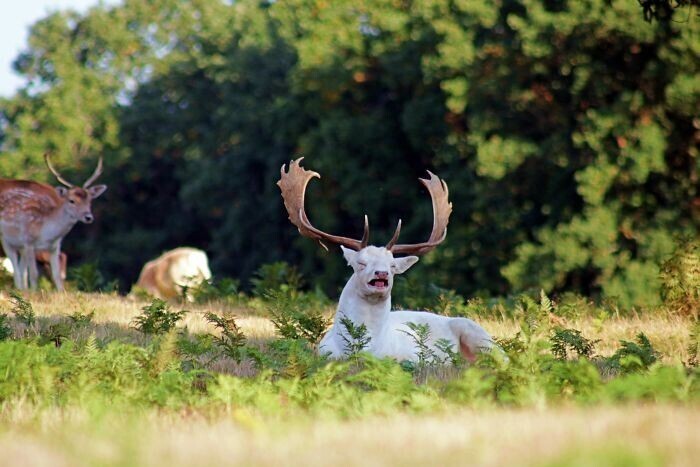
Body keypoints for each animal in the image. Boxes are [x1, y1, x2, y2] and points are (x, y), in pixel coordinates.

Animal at [0, 155, 106, 290]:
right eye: (71, 200)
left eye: (90, 200)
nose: (88, 217)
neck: (46, 233)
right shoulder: (28, 242)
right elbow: (34, 274)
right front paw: (35, 293)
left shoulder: (54, 247)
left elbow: (57, 276)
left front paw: (61, 293)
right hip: (6, 240)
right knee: (16, 268)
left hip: (20, 247)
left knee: (21, 269)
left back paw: (22, 290)